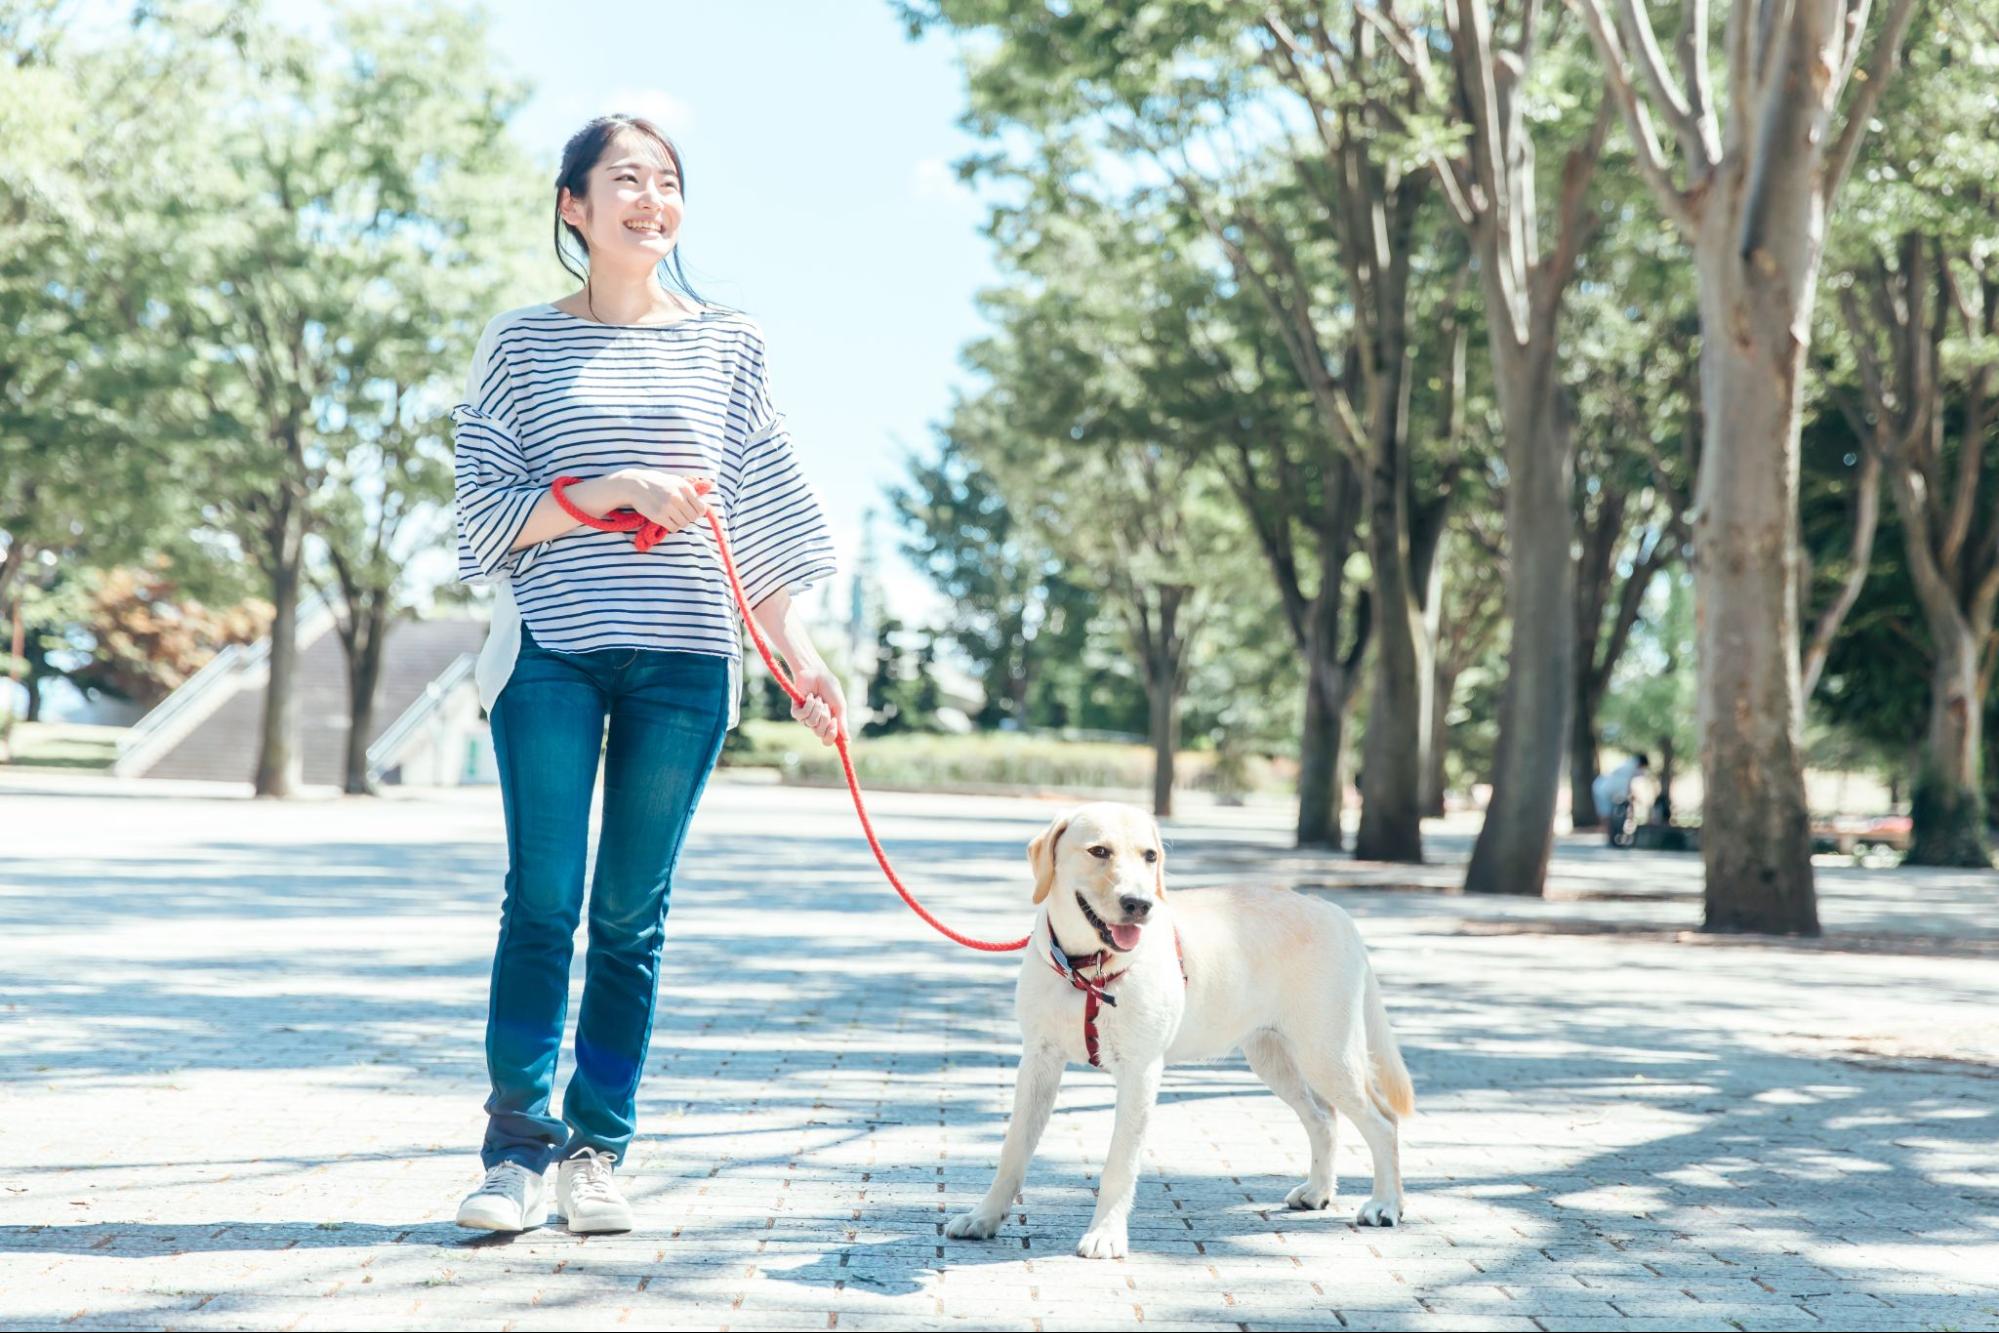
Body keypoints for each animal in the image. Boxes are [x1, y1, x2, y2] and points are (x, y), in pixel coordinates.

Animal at [943, 803, 1415, 1263]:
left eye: (1150, 856)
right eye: (1099, 851)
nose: (1139, 904)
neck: (1088, 968)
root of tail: (1333, 909)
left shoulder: (1140, 1072)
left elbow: (1120, 1163)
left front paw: (1105, 1234)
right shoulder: (1038, 1062)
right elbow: (1013, 1150)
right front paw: (984, 1217)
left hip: (1328, 1054)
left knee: (1382, 1122)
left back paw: (1385, 1205)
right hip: (1274, 1058)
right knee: (1324, 1117)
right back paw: (1318, 1191)